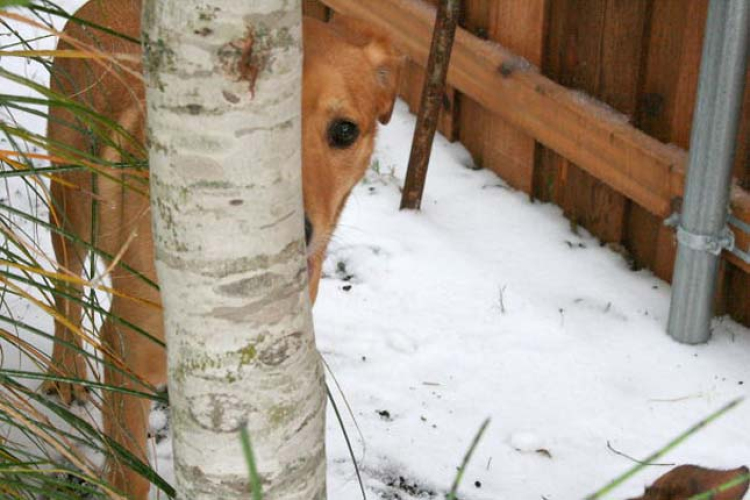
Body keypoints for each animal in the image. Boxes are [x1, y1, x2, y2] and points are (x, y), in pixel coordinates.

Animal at [44, 1, 402, 496]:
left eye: (345, 131)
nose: (298, 234)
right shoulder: (123, 347)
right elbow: (129, 472)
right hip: (72, 205)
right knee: (68, 288)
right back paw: (65, 371)